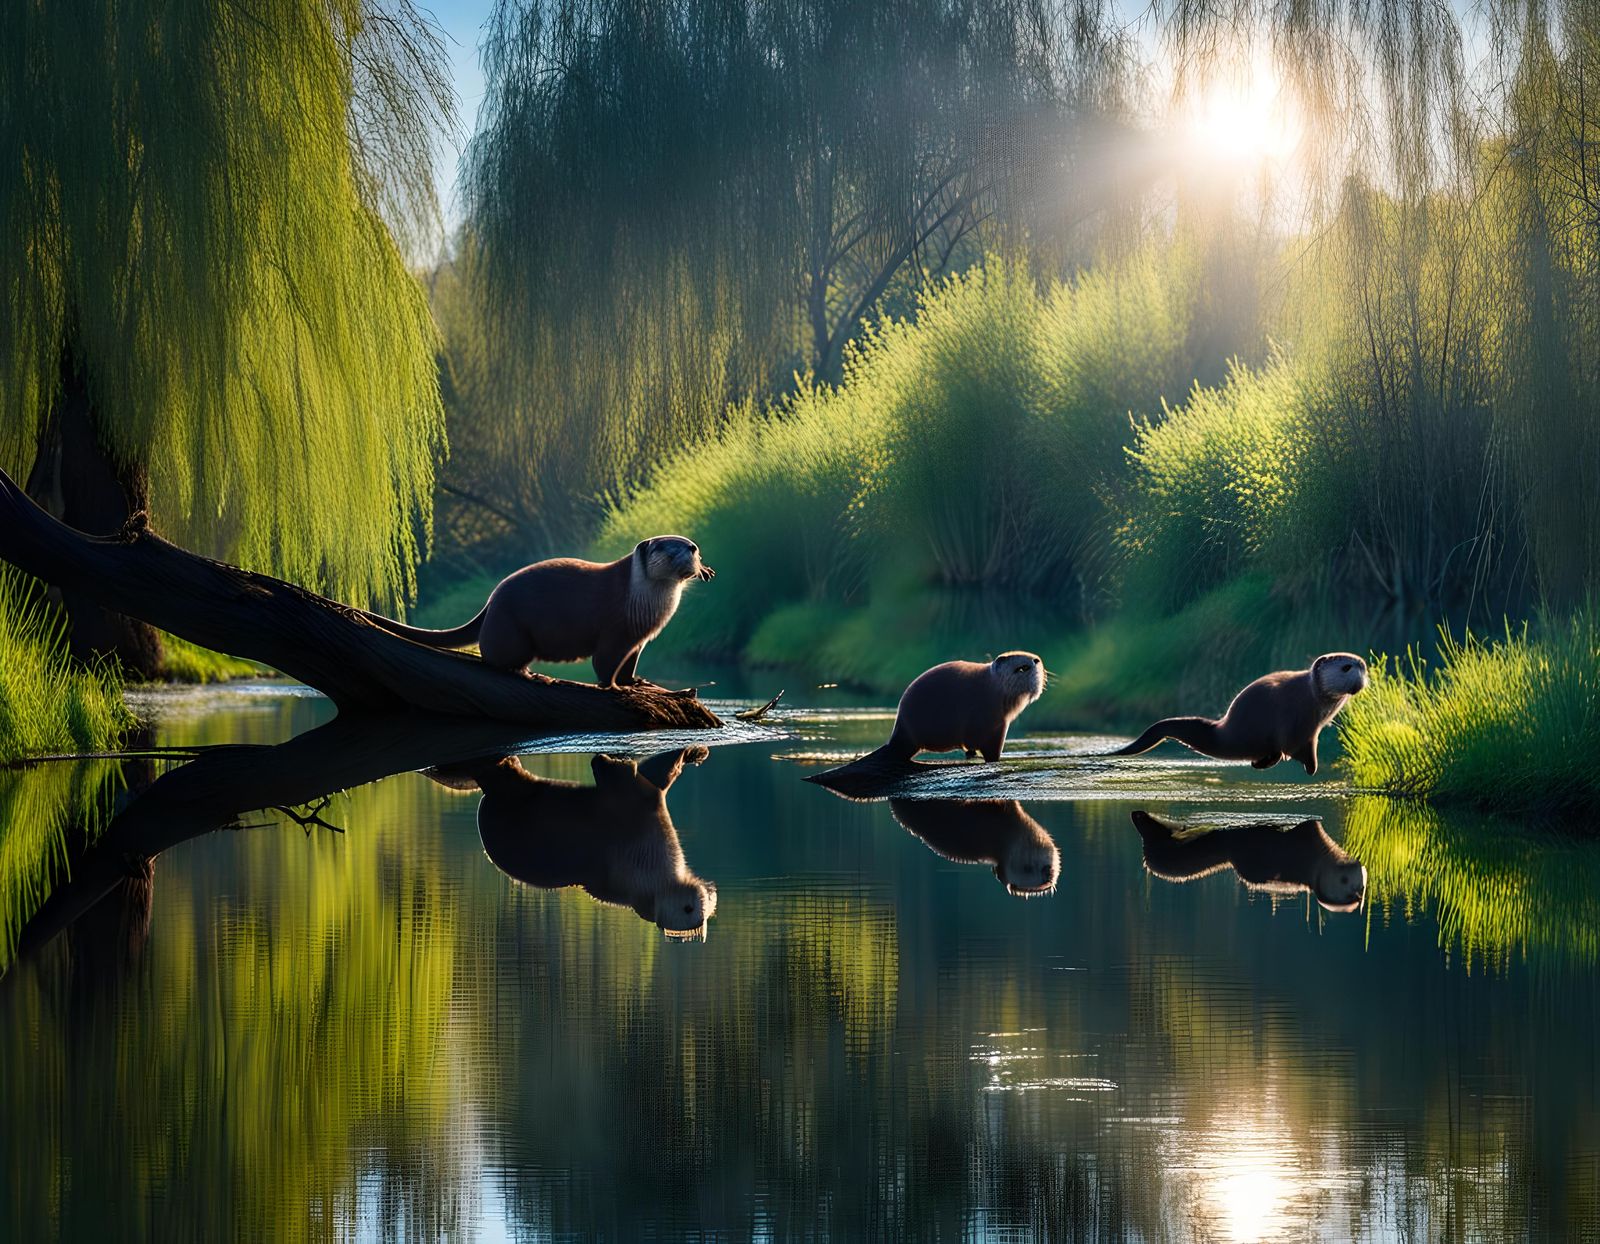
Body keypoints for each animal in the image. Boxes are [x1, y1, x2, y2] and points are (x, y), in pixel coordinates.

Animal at [361, 536, 714, 687]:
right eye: (664, 548)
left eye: (691, 545)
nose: (690, 551)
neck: (640, 602)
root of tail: (490, 602)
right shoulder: (615, 631)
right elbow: (604, 664)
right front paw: (614, 687)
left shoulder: (636, 640)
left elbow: (628, 666)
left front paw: (637, 682)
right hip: (511, 630)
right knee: (494, 659)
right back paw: (530, 673)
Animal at [470, 747, 717, 938]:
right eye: (699, 908)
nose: (711, 892)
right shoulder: (640, 844)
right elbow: (628, 779)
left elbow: (652, 775)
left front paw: (695, 751)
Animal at [873, 653, 1046, 762]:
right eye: (1022, 667)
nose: (1036, 660)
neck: (990, 687)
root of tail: (894, 741)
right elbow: (981, 745)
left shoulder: (1000, 725)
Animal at [1110, 653, 1369, 775]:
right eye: (1346, 667)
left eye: (1363, 667)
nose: (1360, 677)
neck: (1309, 698)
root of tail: (1223, 729)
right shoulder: (1293, 724)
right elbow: (1291, 747)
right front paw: (1307, 766)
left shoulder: (1311, 732)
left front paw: (1312, 767)